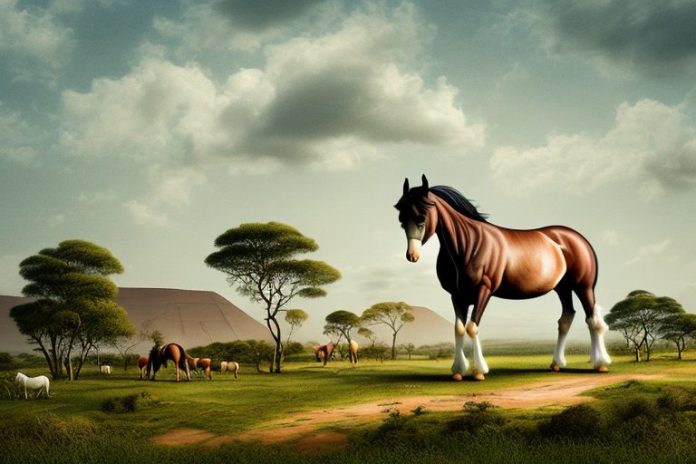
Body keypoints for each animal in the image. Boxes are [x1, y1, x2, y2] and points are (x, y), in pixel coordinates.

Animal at [395, 175, 611, 381]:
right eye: (402, 219)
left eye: (422, 216)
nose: (412, 256)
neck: (468, 245)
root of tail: (579, 239)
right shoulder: (457, 296)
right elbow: (459, 329)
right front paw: (458, 371)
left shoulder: (484, 290)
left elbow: (472, 327)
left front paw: (479, 372)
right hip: (562, 288)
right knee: (566, 319)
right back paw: (556, 364)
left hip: (584, 287)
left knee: (593, 320)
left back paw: (600, 364)